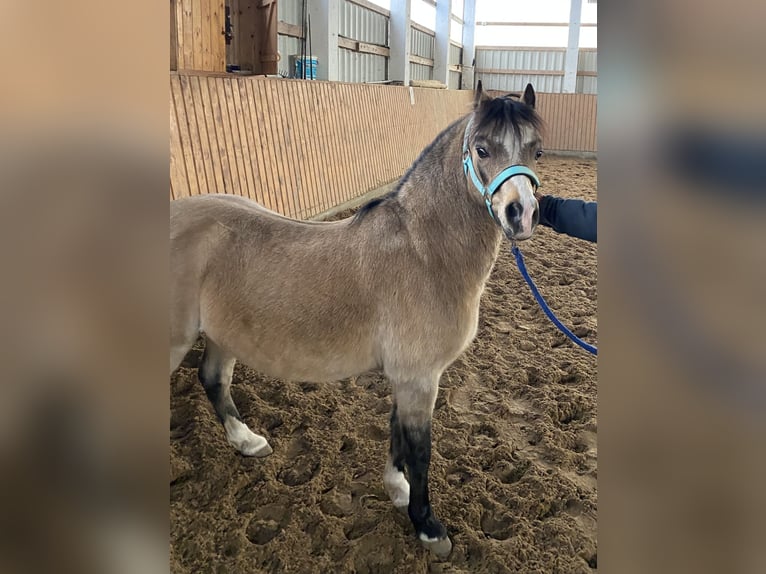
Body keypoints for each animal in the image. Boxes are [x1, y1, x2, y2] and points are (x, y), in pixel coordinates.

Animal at [170, 82, 544, 557]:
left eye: (536, 150)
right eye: (482, 148)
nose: (522, 214)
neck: (423, 254)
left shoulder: (408, 377)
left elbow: (397, 434)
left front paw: (398, 490)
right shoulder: (420, 377)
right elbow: (420, 450)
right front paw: (428, 527)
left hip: (223, 335)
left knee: (214, 379)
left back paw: (247, 442)